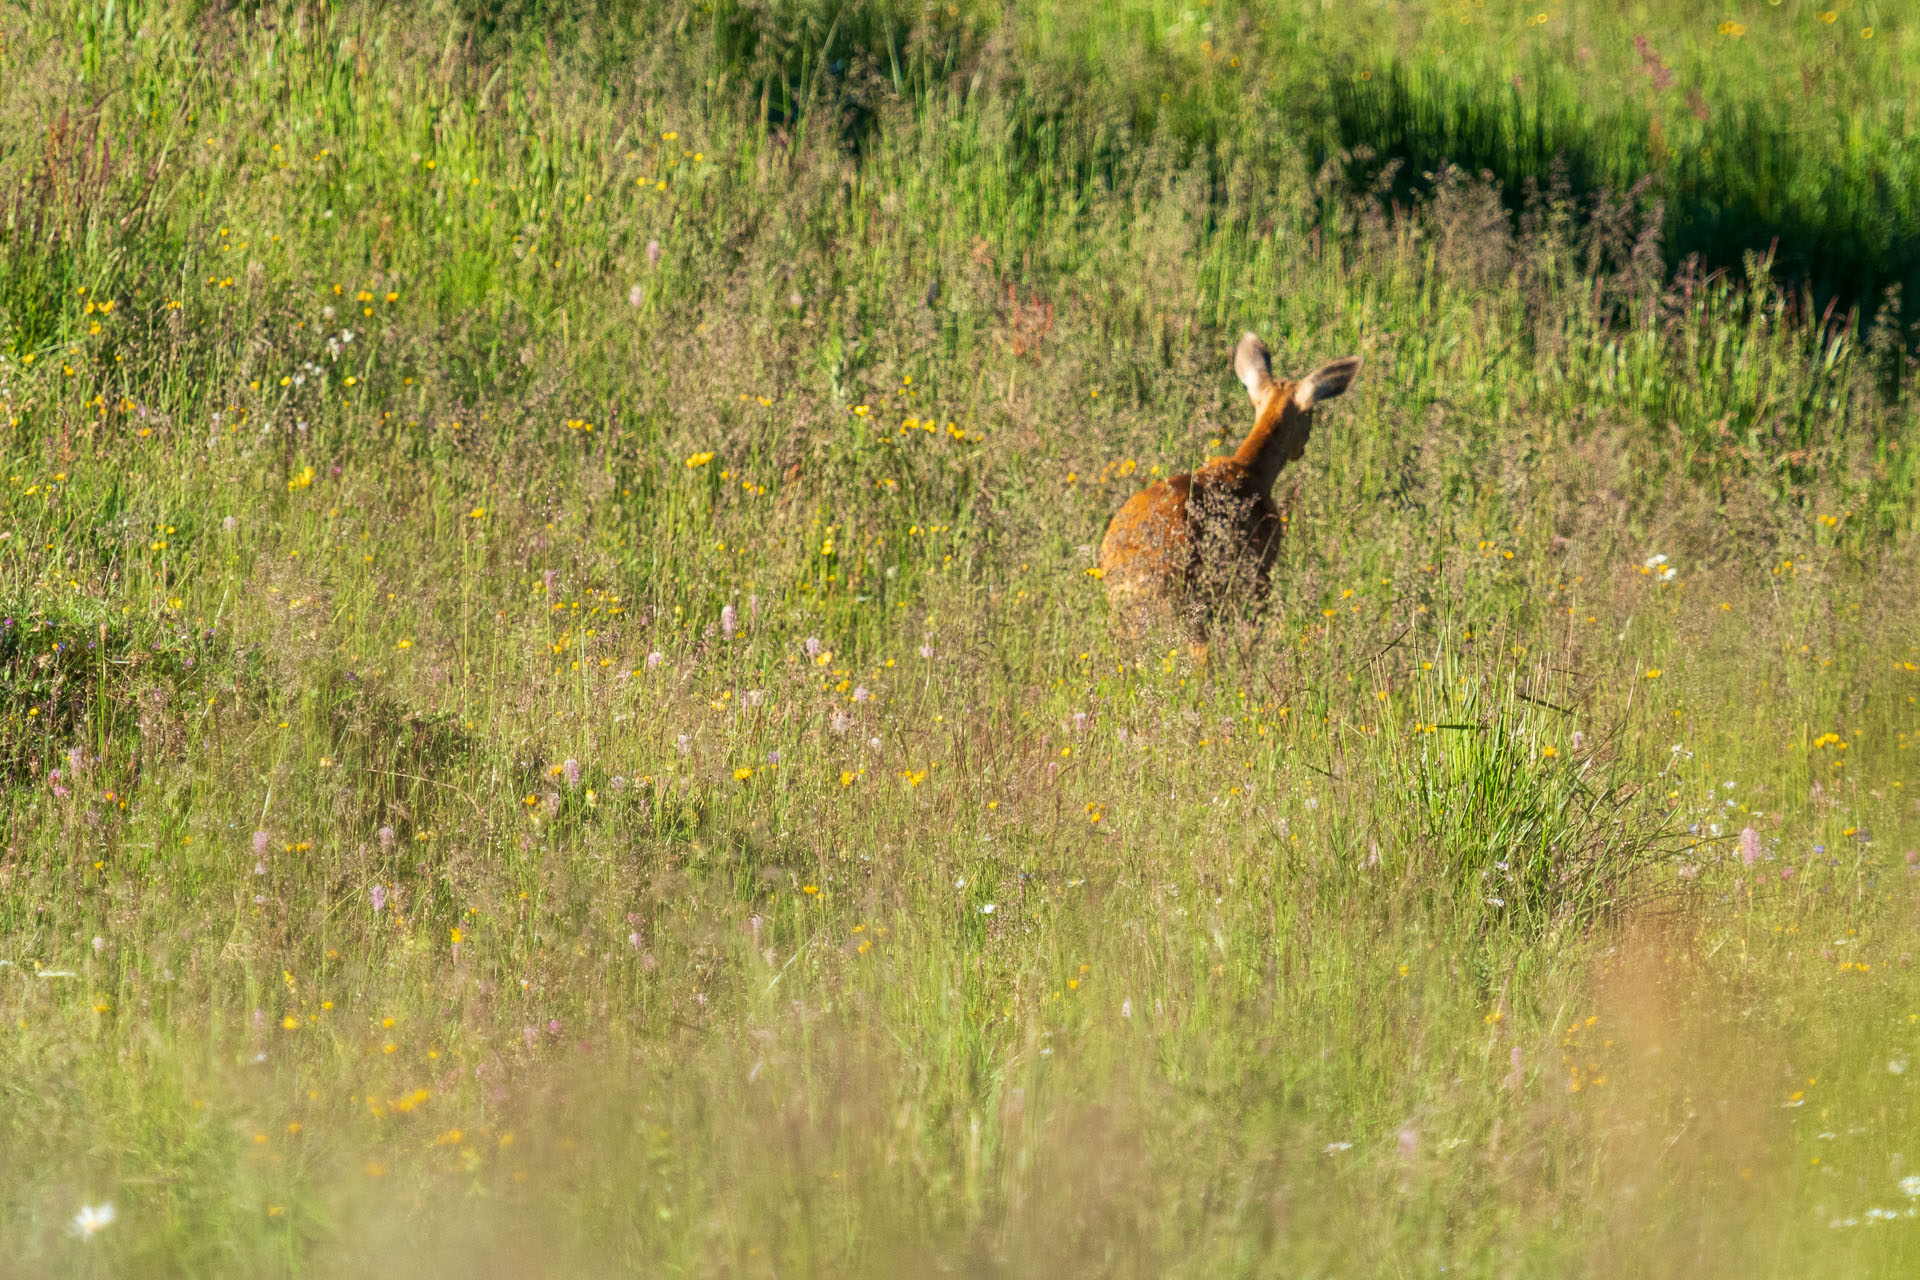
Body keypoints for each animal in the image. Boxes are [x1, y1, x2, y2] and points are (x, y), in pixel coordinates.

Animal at [1105, 335, 1359, 667]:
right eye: (1311, 415)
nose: (1300, 449)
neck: (1253, 470)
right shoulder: (1259, 568)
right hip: (1193, 598)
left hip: (1125, 613)